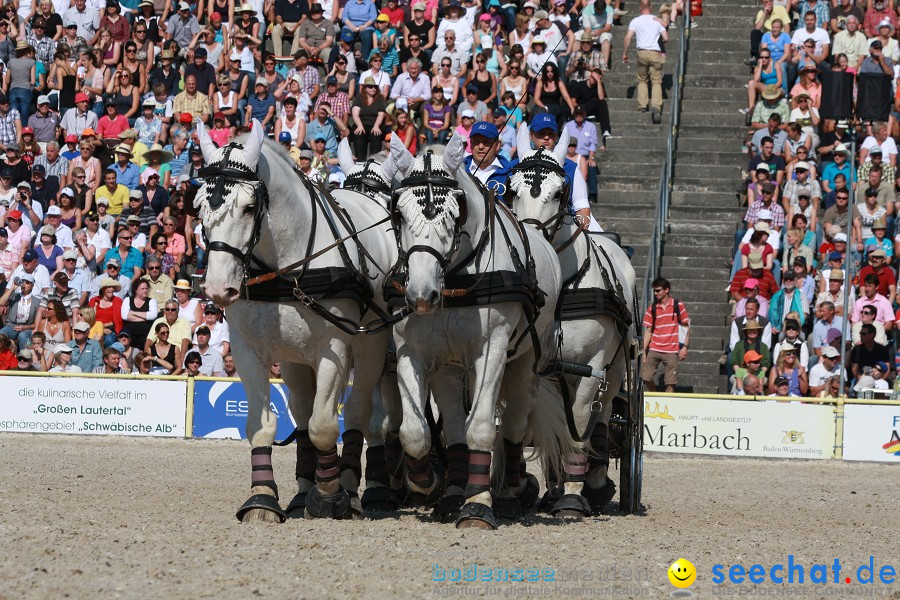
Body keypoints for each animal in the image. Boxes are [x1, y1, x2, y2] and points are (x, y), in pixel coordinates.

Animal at [199, 120, 400, 520]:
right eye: (199, 205)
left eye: (249, 207)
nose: (217, 288)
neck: (287, 266)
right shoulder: (247, 350)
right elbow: (263, 425)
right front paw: (262, 498)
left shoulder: (333, 348)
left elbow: (325, 425)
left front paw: (330, 496)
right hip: (294, 358)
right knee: (304, 415)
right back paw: (304, 492)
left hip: (371, 346)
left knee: (360, 415)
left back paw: (351, 488)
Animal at [388, 135, 572, 528]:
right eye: (400, 214)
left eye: (454, 213)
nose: (421, 295)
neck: (455, 279)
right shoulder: (412, 350)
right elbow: (415, 432)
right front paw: (426, 481)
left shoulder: (491, 351)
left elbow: (484, 427)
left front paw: (478, 505)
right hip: (450, 366)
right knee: (456, 428)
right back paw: (453, 492)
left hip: (526, 362)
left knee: (515, 423)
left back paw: (510, 491)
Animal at [506, 125, 640, 516]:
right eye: (511, 189)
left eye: (559, 192)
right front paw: (519, 488)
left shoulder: (591, 367)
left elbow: (578, 423)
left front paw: (572, 495)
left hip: (615, 370)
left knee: (603, 416)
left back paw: (593, 484)